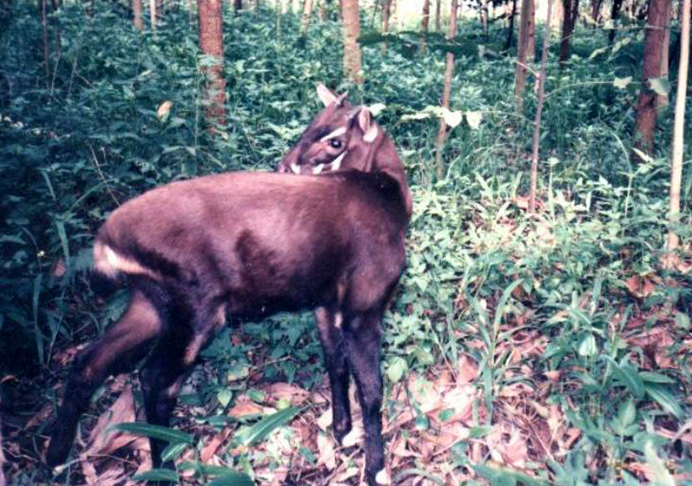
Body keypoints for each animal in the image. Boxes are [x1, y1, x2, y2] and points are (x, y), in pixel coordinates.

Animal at [46, 85, 412, 486]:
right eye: (314, 124)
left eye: (334, 139)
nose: (284, 166)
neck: (388, 194)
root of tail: (107, 240)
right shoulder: (365, 303)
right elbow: (372, 390)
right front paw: (377, 470)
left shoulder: (327, 302)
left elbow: (335, 363)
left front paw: (343, 432)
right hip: (197, 309)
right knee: (154, 380)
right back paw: (164, 469)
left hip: (150, 303)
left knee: (89, 360)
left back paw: (55, 458)